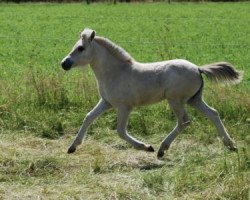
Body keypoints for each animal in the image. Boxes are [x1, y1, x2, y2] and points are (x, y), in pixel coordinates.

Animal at [61, 28, 242, 159]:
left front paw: (146, 147)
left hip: (176, 100)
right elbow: (88, 117)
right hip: (194, 99)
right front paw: (72, 147)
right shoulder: (106, 102)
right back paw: (231, 145)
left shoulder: (124, 107)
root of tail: (198, 68)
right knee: (213, 114)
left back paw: (162, 149)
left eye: (81, 48)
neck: (116, 72)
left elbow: (120, 131)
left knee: (184, 121)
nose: (64, 64)